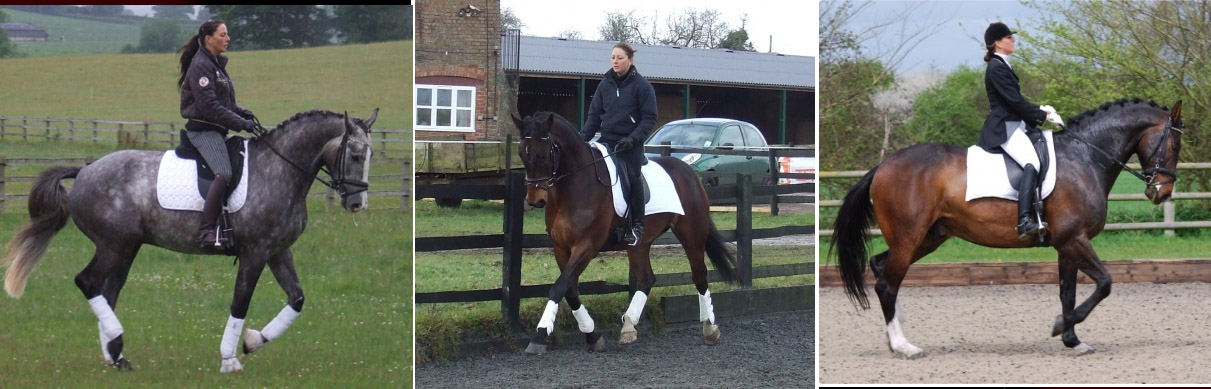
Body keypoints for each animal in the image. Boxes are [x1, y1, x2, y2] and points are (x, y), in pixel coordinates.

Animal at [1, 107, 377, 370]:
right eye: (356, 154)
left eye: (370, 155)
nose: (357, 204)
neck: (280, 170)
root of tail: (85, 170)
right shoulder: (255, 254)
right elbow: (239, 304)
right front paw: (229, 360)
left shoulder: (277, 251)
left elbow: (296, 299)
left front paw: (253, 341)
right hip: (114, 245)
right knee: (88, 282)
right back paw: (117, 345)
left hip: (125, 248)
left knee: (108, 290)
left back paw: (116, 355)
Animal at [508, 110, 736, 353]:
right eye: (522, 153)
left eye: (544, 153)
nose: (535, 200)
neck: (576, 184)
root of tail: (689, 172)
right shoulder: (560, 248)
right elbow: (569, 290)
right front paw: (592, 335)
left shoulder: (587, 246)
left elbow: (559, 286)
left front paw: (540, 334)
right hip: (639, 244)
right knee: (646, 279)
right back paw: (628, 326)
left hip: (692, 234)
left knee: (699, 275)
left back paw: (709, 328)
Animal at [833, 99, 1181, 358]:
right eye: (1176, 145)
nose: (1161, 193)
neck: (1085, 158)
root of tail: (884, 165)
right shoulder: (1074, 240)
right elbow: (1105, 283)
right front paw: (1059, 327)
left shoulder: (1067, 245)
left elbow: (1068, 292)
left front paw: (1072, 339)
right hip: (909, 238)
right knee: (886, 284)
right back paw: (905, 346)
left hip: (928, 238)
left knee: (881, 267)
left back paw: (895, 336)